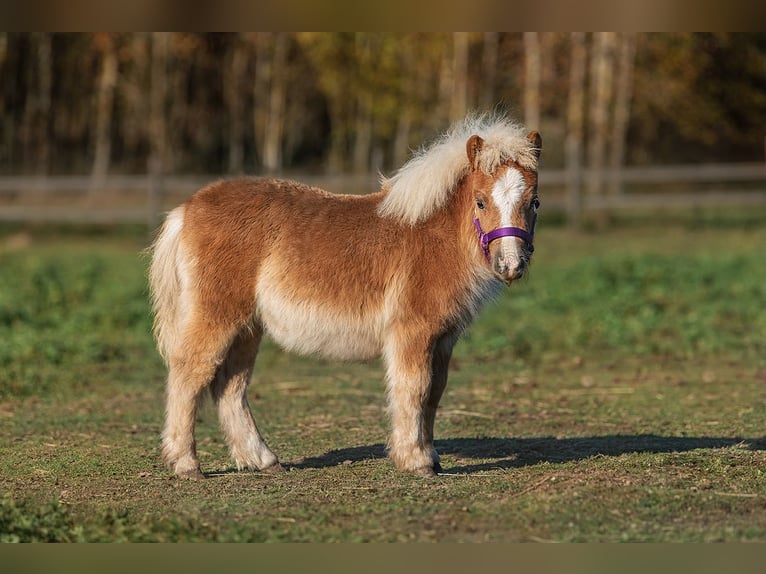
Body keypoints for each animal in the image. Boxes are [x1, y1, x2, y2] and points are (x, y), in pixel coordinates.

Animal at [150, 115, 544, 480]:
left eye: (534, 202)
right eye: (480, 201)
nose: (510, 265)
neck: (434, 238)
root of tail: (186, 210)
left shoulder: (444, 338)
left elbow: (434, 393)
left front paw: (431, 458)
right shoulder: (413, 332)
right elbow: (413, 389)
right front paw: (415, 461)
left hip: (248, 327)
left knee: (230, 386)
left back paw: (264, 460)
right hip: (217, 315)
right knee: (189, 374)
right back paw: (187, 465)